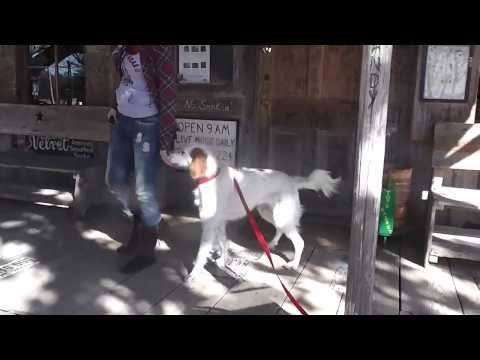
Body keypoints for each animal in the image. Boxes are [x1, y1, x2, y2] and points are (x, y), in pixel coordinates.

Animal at [169, 148, 342, 280]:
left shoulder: (210, 224)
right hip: (269, 213)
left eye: (182, 151)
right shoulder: (218, 222)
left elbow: (202, 253)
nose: (168, 152)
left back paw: (293, 264)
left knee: (299, 242)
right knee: (280, 230)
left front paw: (194, 274)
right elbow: (223, 242)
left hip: (281, 217)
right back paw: (271, 244)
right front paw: (222, 261)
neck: (212, 177)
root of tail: (292, 181)